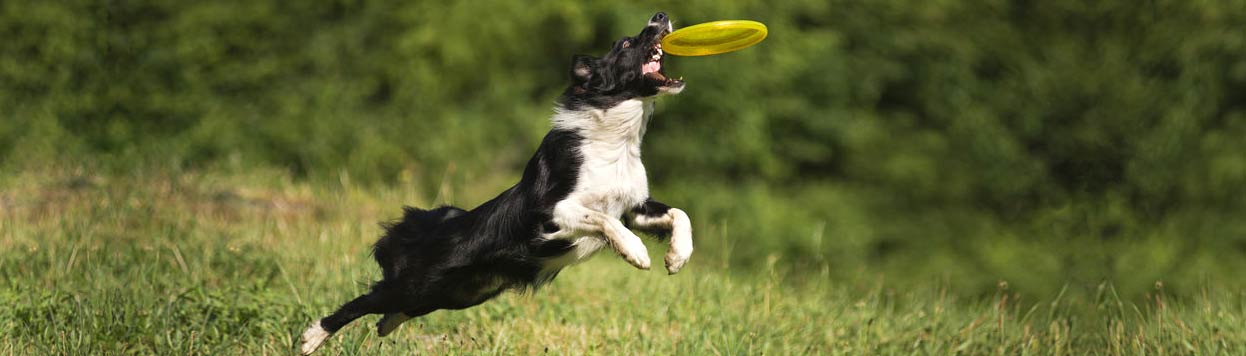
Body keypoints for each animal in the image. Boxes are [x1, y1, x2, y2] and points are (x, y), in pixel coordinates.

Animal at [297, 12, 697, 353]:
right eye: (626, 44)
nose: (660, 15)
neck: (615, 140)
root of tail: (436, 227)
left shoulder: (634, 207)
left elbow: (679, 214)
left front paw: (677, 258)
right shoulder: (551, 210)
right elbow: (604, 220)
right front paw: (637, 253)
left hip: (458, 294)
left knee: (393, 308)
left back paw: (383, 326)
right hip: (419, 283)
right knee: (364, 301)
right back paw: (311, 337)